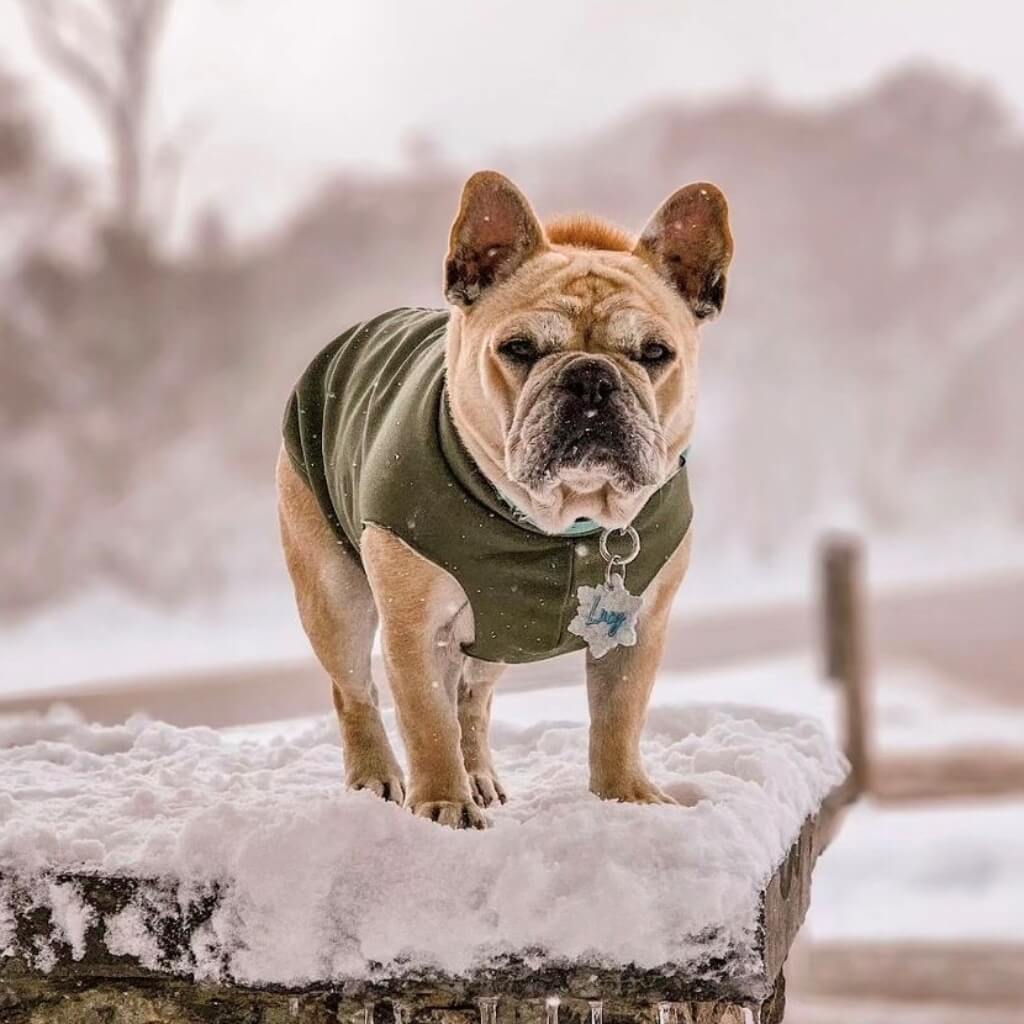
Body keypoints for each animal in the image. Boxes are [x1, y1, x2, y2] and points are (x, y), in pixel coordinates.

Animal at [276, 172, 733, 827]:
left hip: (498, 641)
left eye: (654, 354)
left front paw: (626, 796)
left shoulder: (641, 628)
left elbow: (619, 719)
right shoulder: (415, 631)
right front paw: (442, 803)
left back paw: (479, 776)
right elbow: (426, 722)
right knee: (354, 691)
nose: (591, 378)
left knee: (472, 698)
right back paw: (376, 777)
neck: (562, 522)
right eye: (518, 348)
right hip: (334, 598)